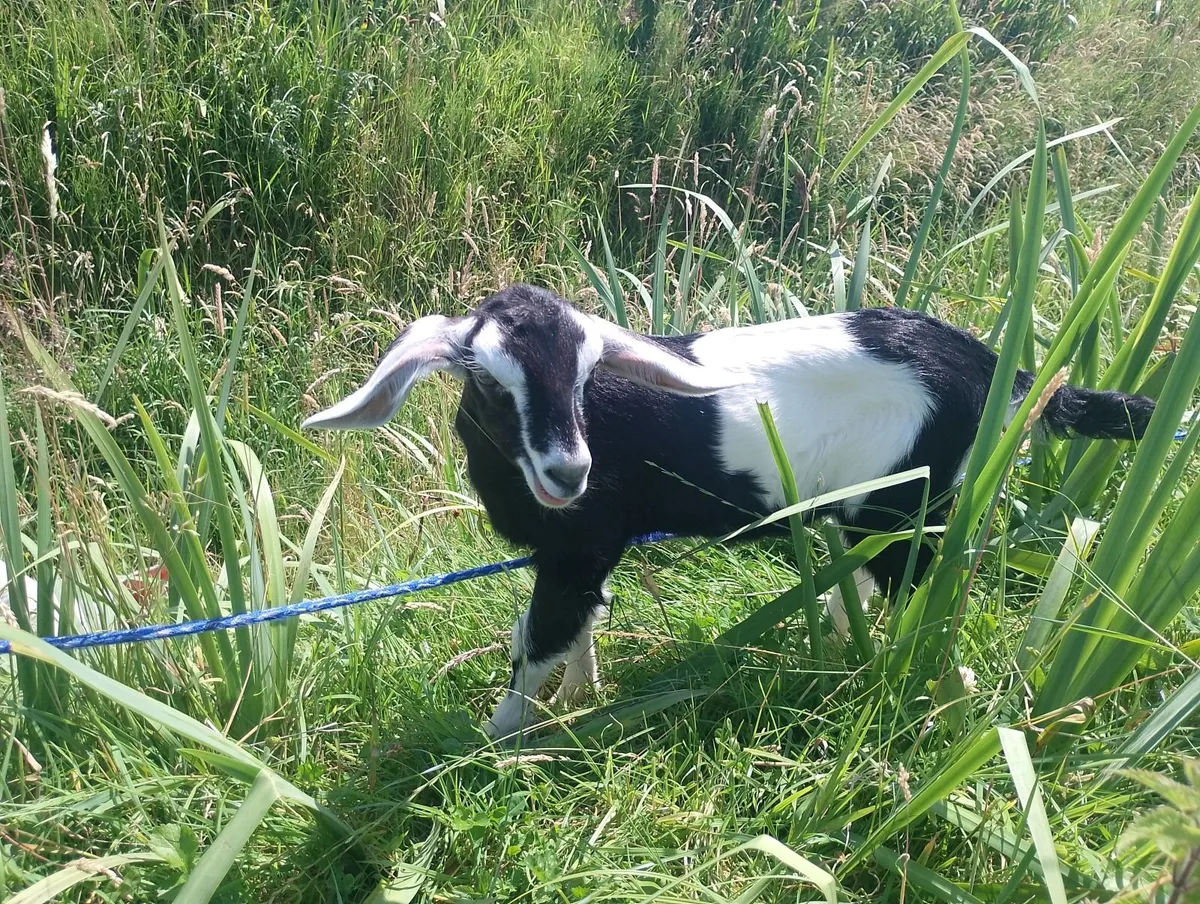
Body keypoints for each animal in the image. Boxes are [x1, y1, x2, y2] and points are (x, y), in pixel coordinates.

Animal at [303, 283, 1155, 740]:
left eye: (585, 378)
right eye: (486, 381)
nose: (569, 470)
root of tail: (1006, 373)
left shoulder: (581, 541)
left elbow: (540, 639)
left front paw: (490, 739)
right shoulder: (582, 549)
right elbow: (572, 623)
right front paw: (581, 695)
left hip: (915, 504)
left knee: (922, 597)